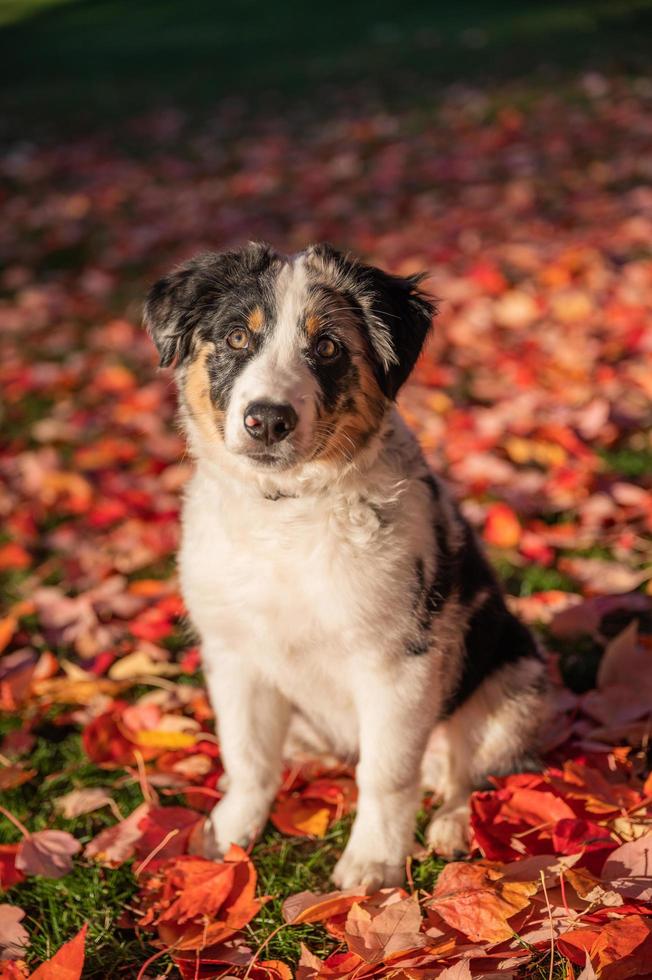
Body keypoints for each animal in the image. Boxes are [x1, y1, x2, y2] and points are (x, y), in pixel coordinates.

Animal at [145, 241, 548, 892]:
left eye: (329, 347)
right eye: (235, 337)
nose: (267, 419)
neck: (285, 515)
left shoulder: (398, 661)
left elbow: (385, 775)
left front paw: (371, 865)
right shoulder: (233, 654)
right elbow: (247, 756)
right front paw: (227, 835)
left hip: (513, 689)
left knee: (469, 772)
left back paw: (453, 826)